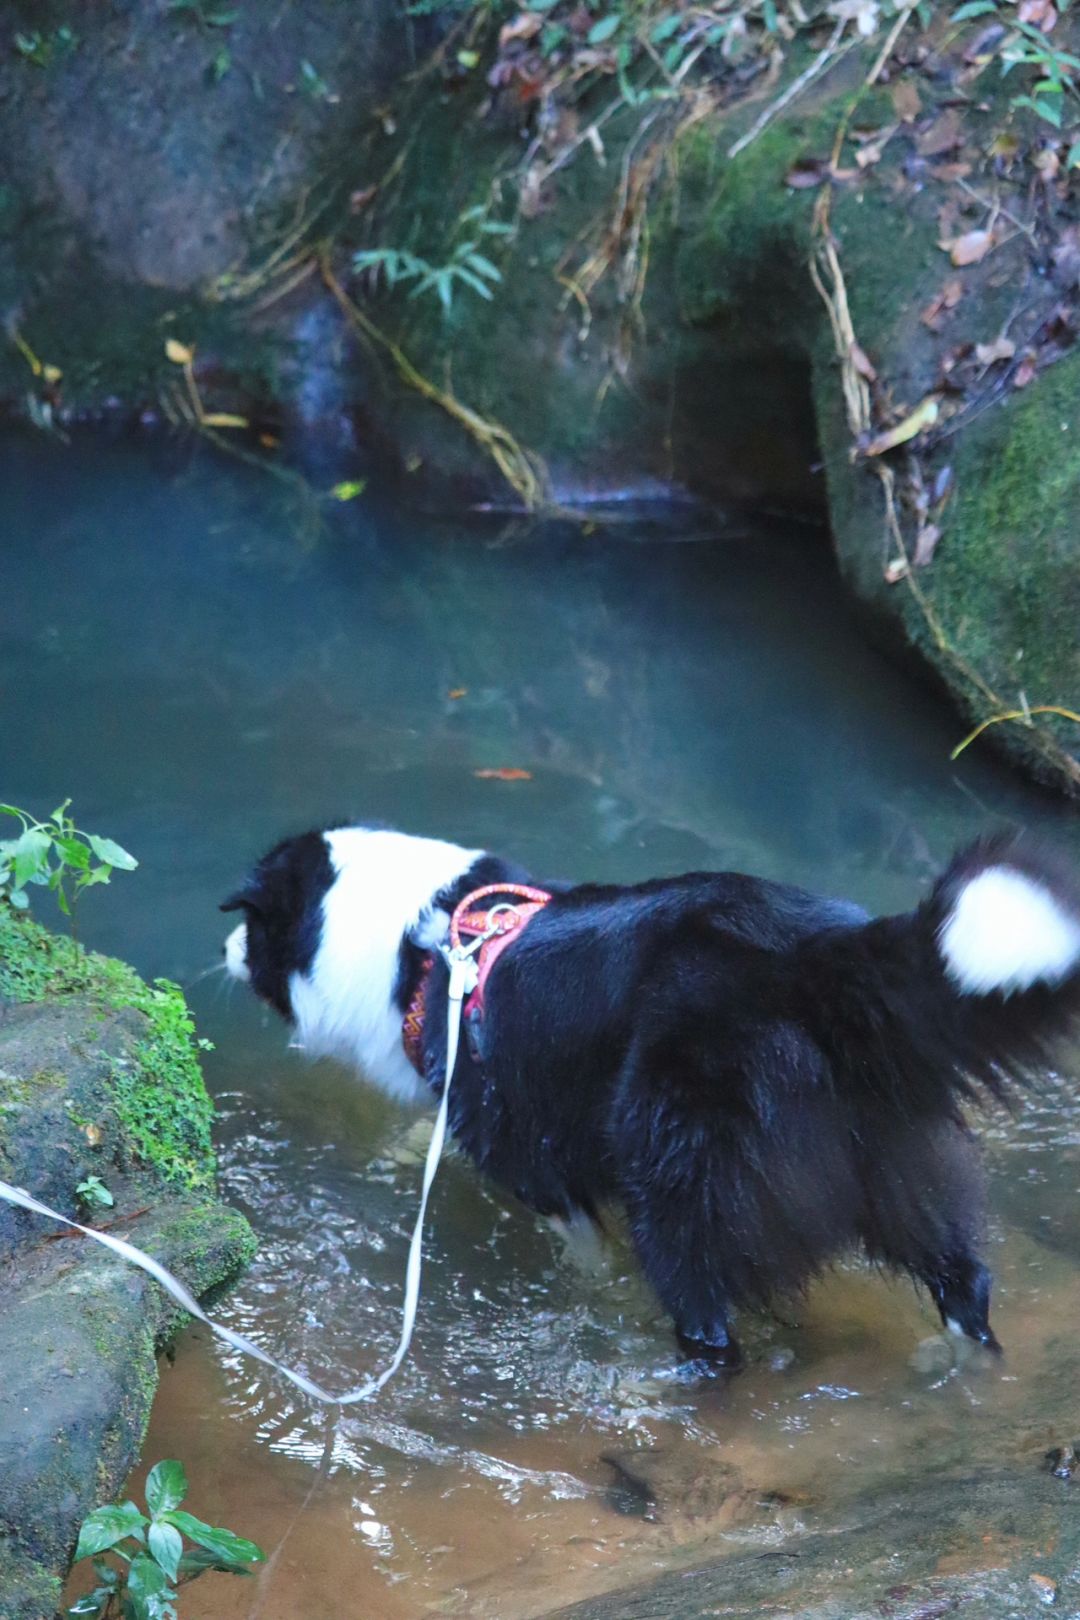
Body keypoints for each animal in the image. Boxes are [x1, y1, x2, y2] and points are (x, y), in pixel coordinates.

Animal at [223, 829, 1080, 1373]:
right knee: (964, 1281)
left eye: (253, 925)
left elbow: (578, 1239)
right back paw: (963, 1361)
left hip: (678, 1173)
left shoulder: (518, 1139)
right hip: (901, 1162)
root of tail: (811, 959)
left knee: (707, 1321)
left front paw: (586, 1286)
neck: (425, 947)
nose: (222, 945)